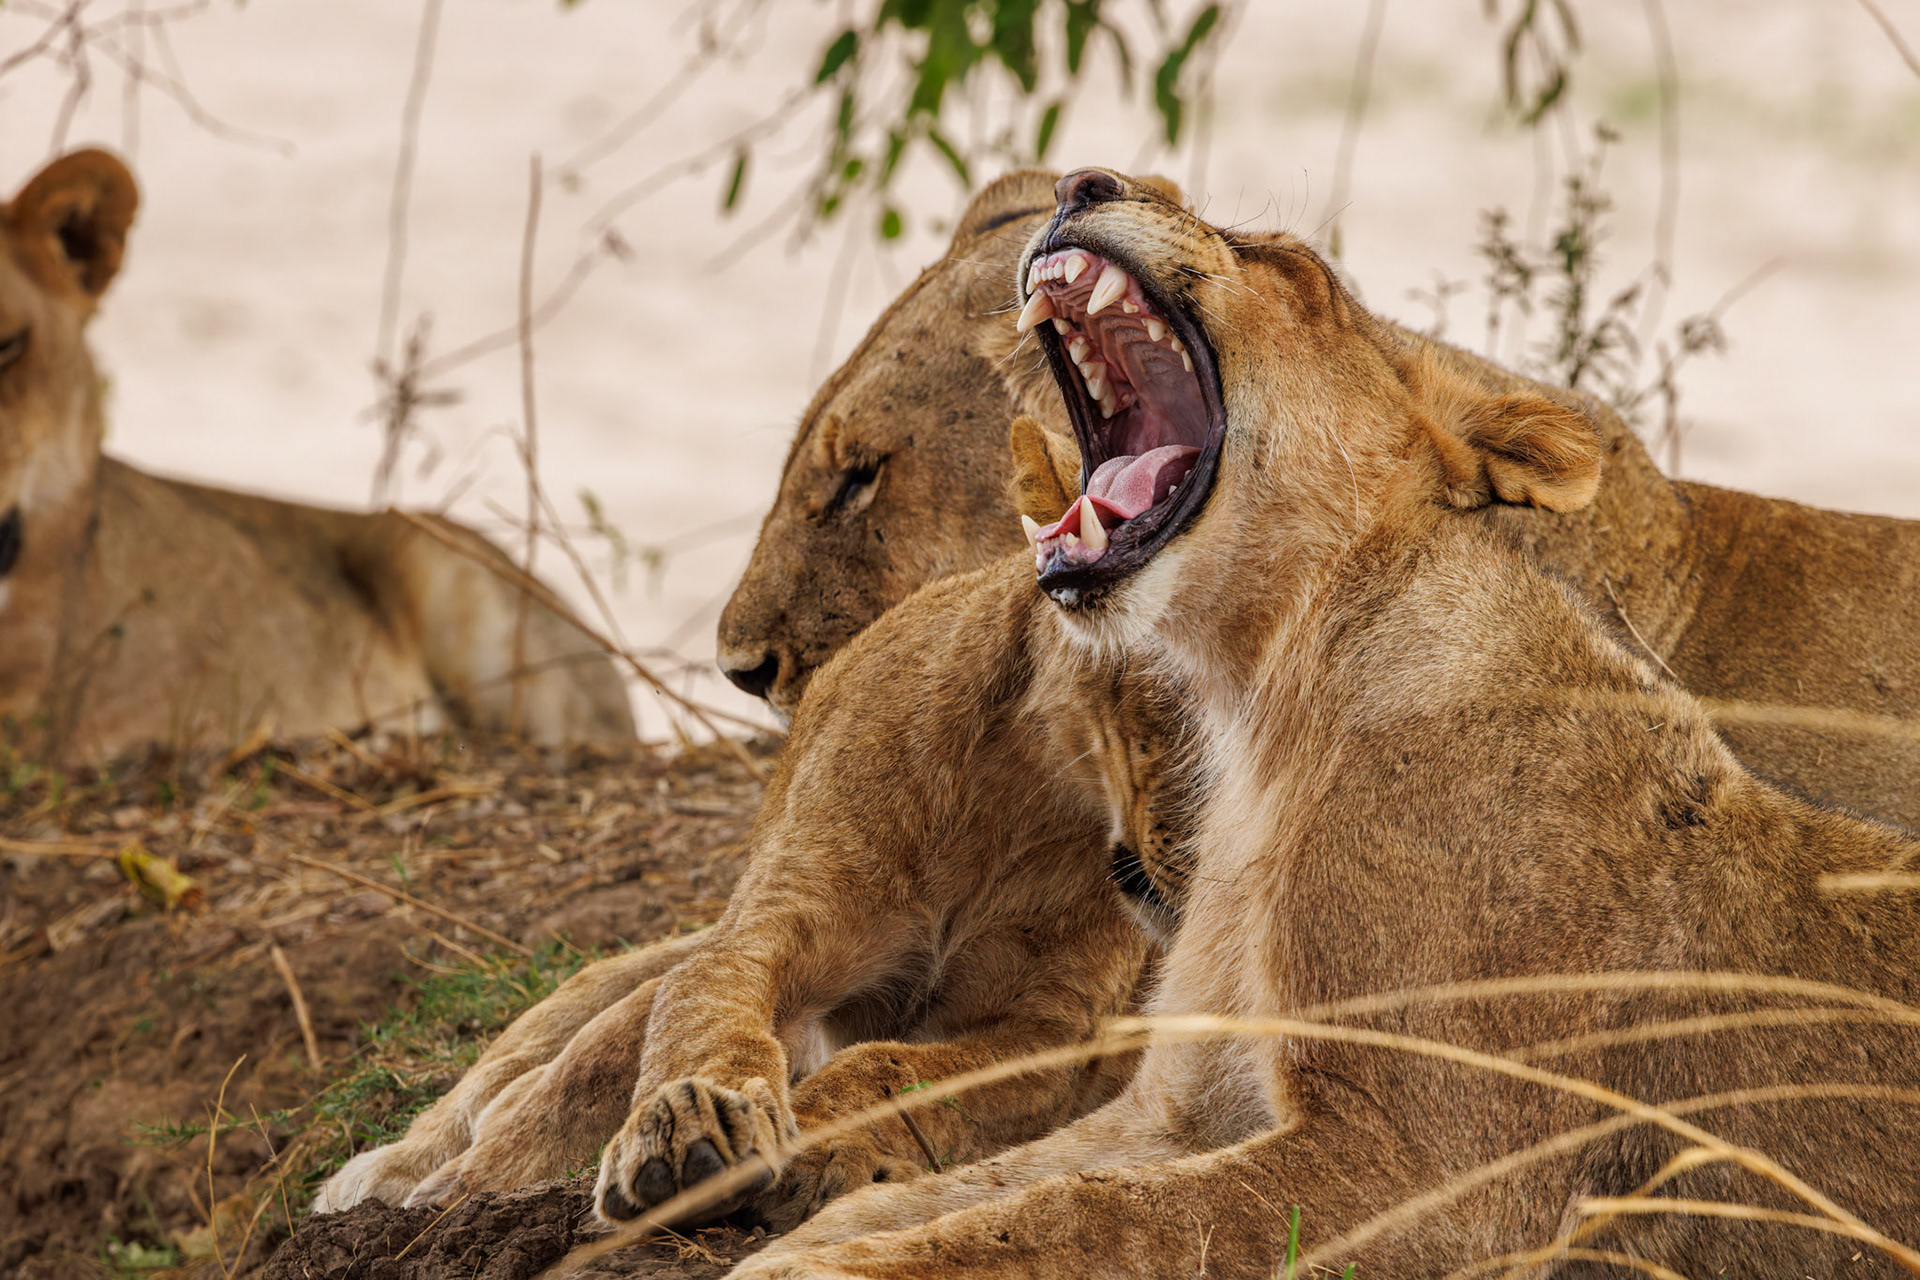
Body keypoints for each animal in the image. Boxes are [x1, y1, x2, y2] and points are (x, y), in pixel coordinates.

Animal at [718, 167, 1920, 1279]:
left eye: (1282, 260)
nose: (1083, 179)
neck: (1260, 701)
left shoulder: (1427, 1167)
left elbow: (1082, 1224)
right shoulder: (1176, 1106)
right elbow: (979, 1195)